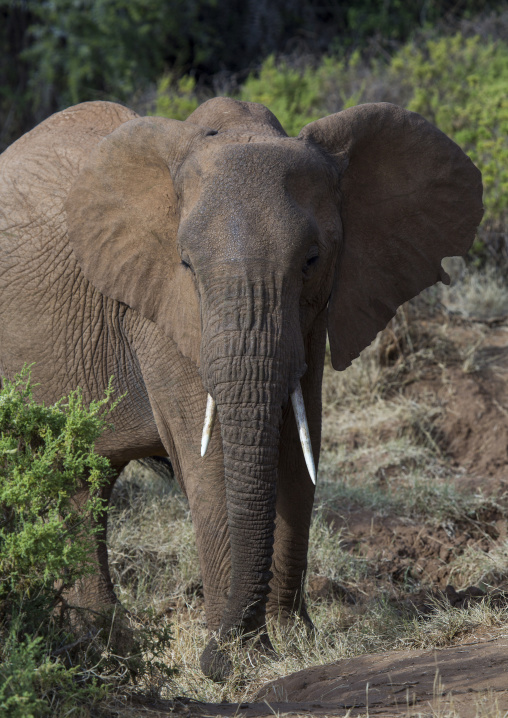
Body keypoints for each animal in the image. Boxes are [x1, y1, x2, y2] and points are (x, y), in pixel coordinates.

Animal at [0, 97, 482, 680]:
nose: (214, 658)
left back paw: (104, 647)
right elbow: (212, 462)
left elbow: (297, 451)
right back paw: (107, 652)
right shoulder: (160, 311)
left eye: (312, 260)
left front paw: (292, 646)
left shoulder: (315, 315)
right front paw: (238, 662)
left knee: (82, 483)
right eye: (186, 264)